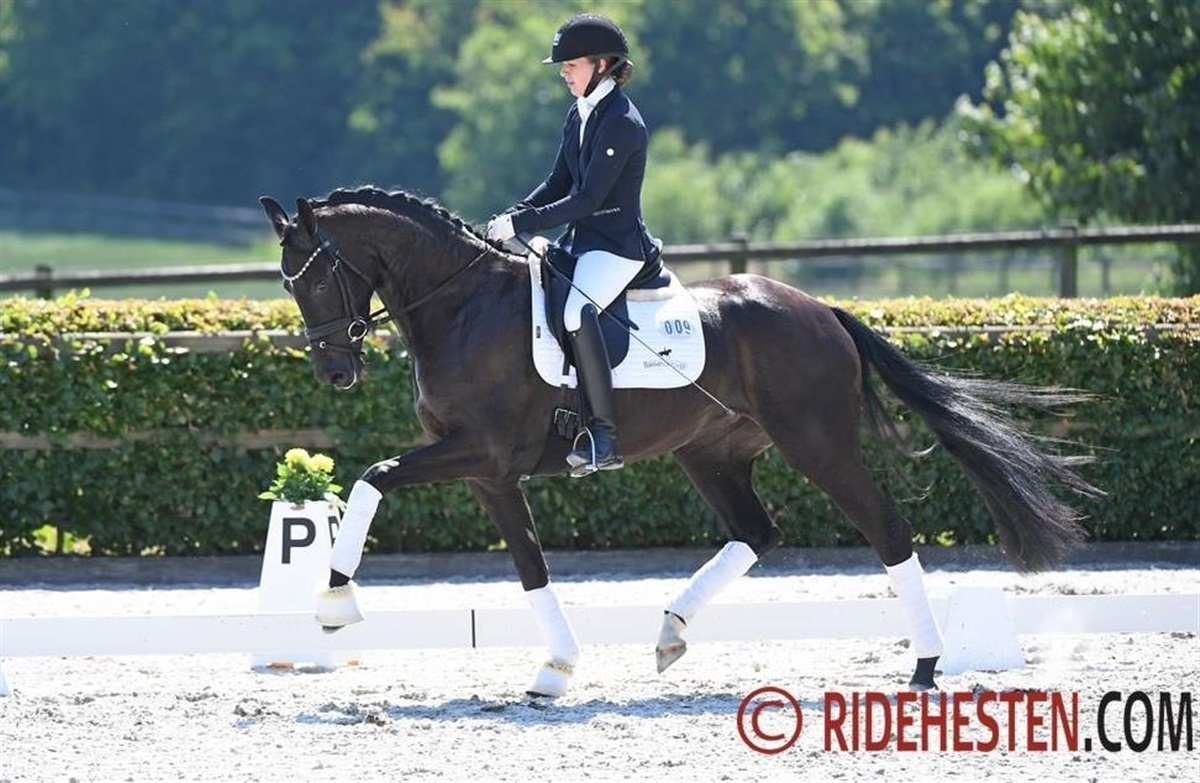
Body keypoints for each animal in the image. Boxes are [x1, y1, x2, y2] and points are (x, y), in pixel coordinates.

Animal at [258, 186, 1100, 697]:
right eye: (288, 284)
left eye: (318, 276)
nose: (335, 370)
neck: (461, 304)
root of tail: (819, 308)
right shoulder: (488, 475)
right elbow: (529, 566)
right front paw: (556, 669)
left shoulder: (483, 453)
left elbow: (373, 473)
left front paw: (335, 600)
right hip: (711, 451)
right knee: (756, 532)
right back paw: (670, 632)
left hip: (818, 444)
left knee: (887, 530)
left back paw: (925, 664)